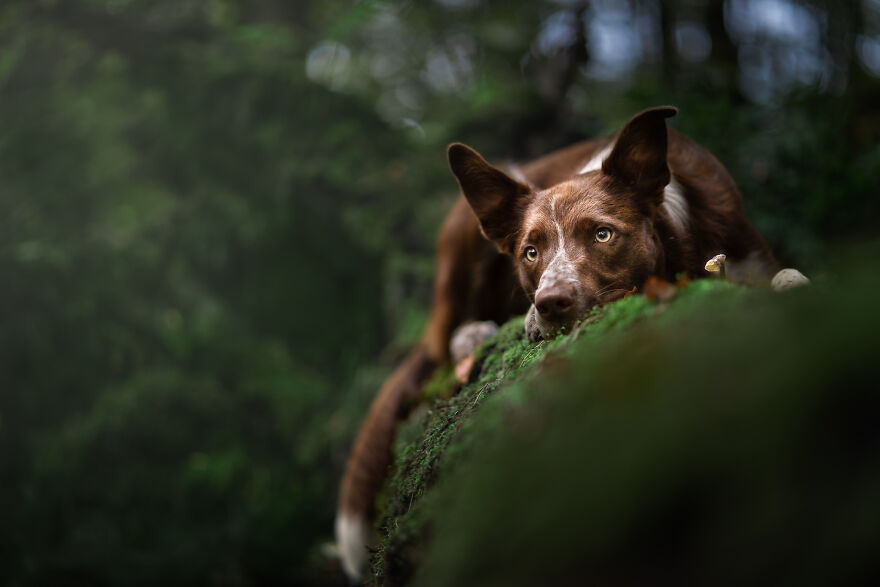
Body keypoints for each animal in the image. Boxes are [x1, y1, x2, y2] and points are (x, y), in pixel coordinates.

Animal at [338, 105, 784, 580]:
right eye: (531, 252)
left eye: (603, 234)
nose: (550, 303)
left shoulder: (750, 257)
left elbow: (786, 278)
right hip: (460, 241)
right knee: (443, 345)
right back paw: (473, 333)